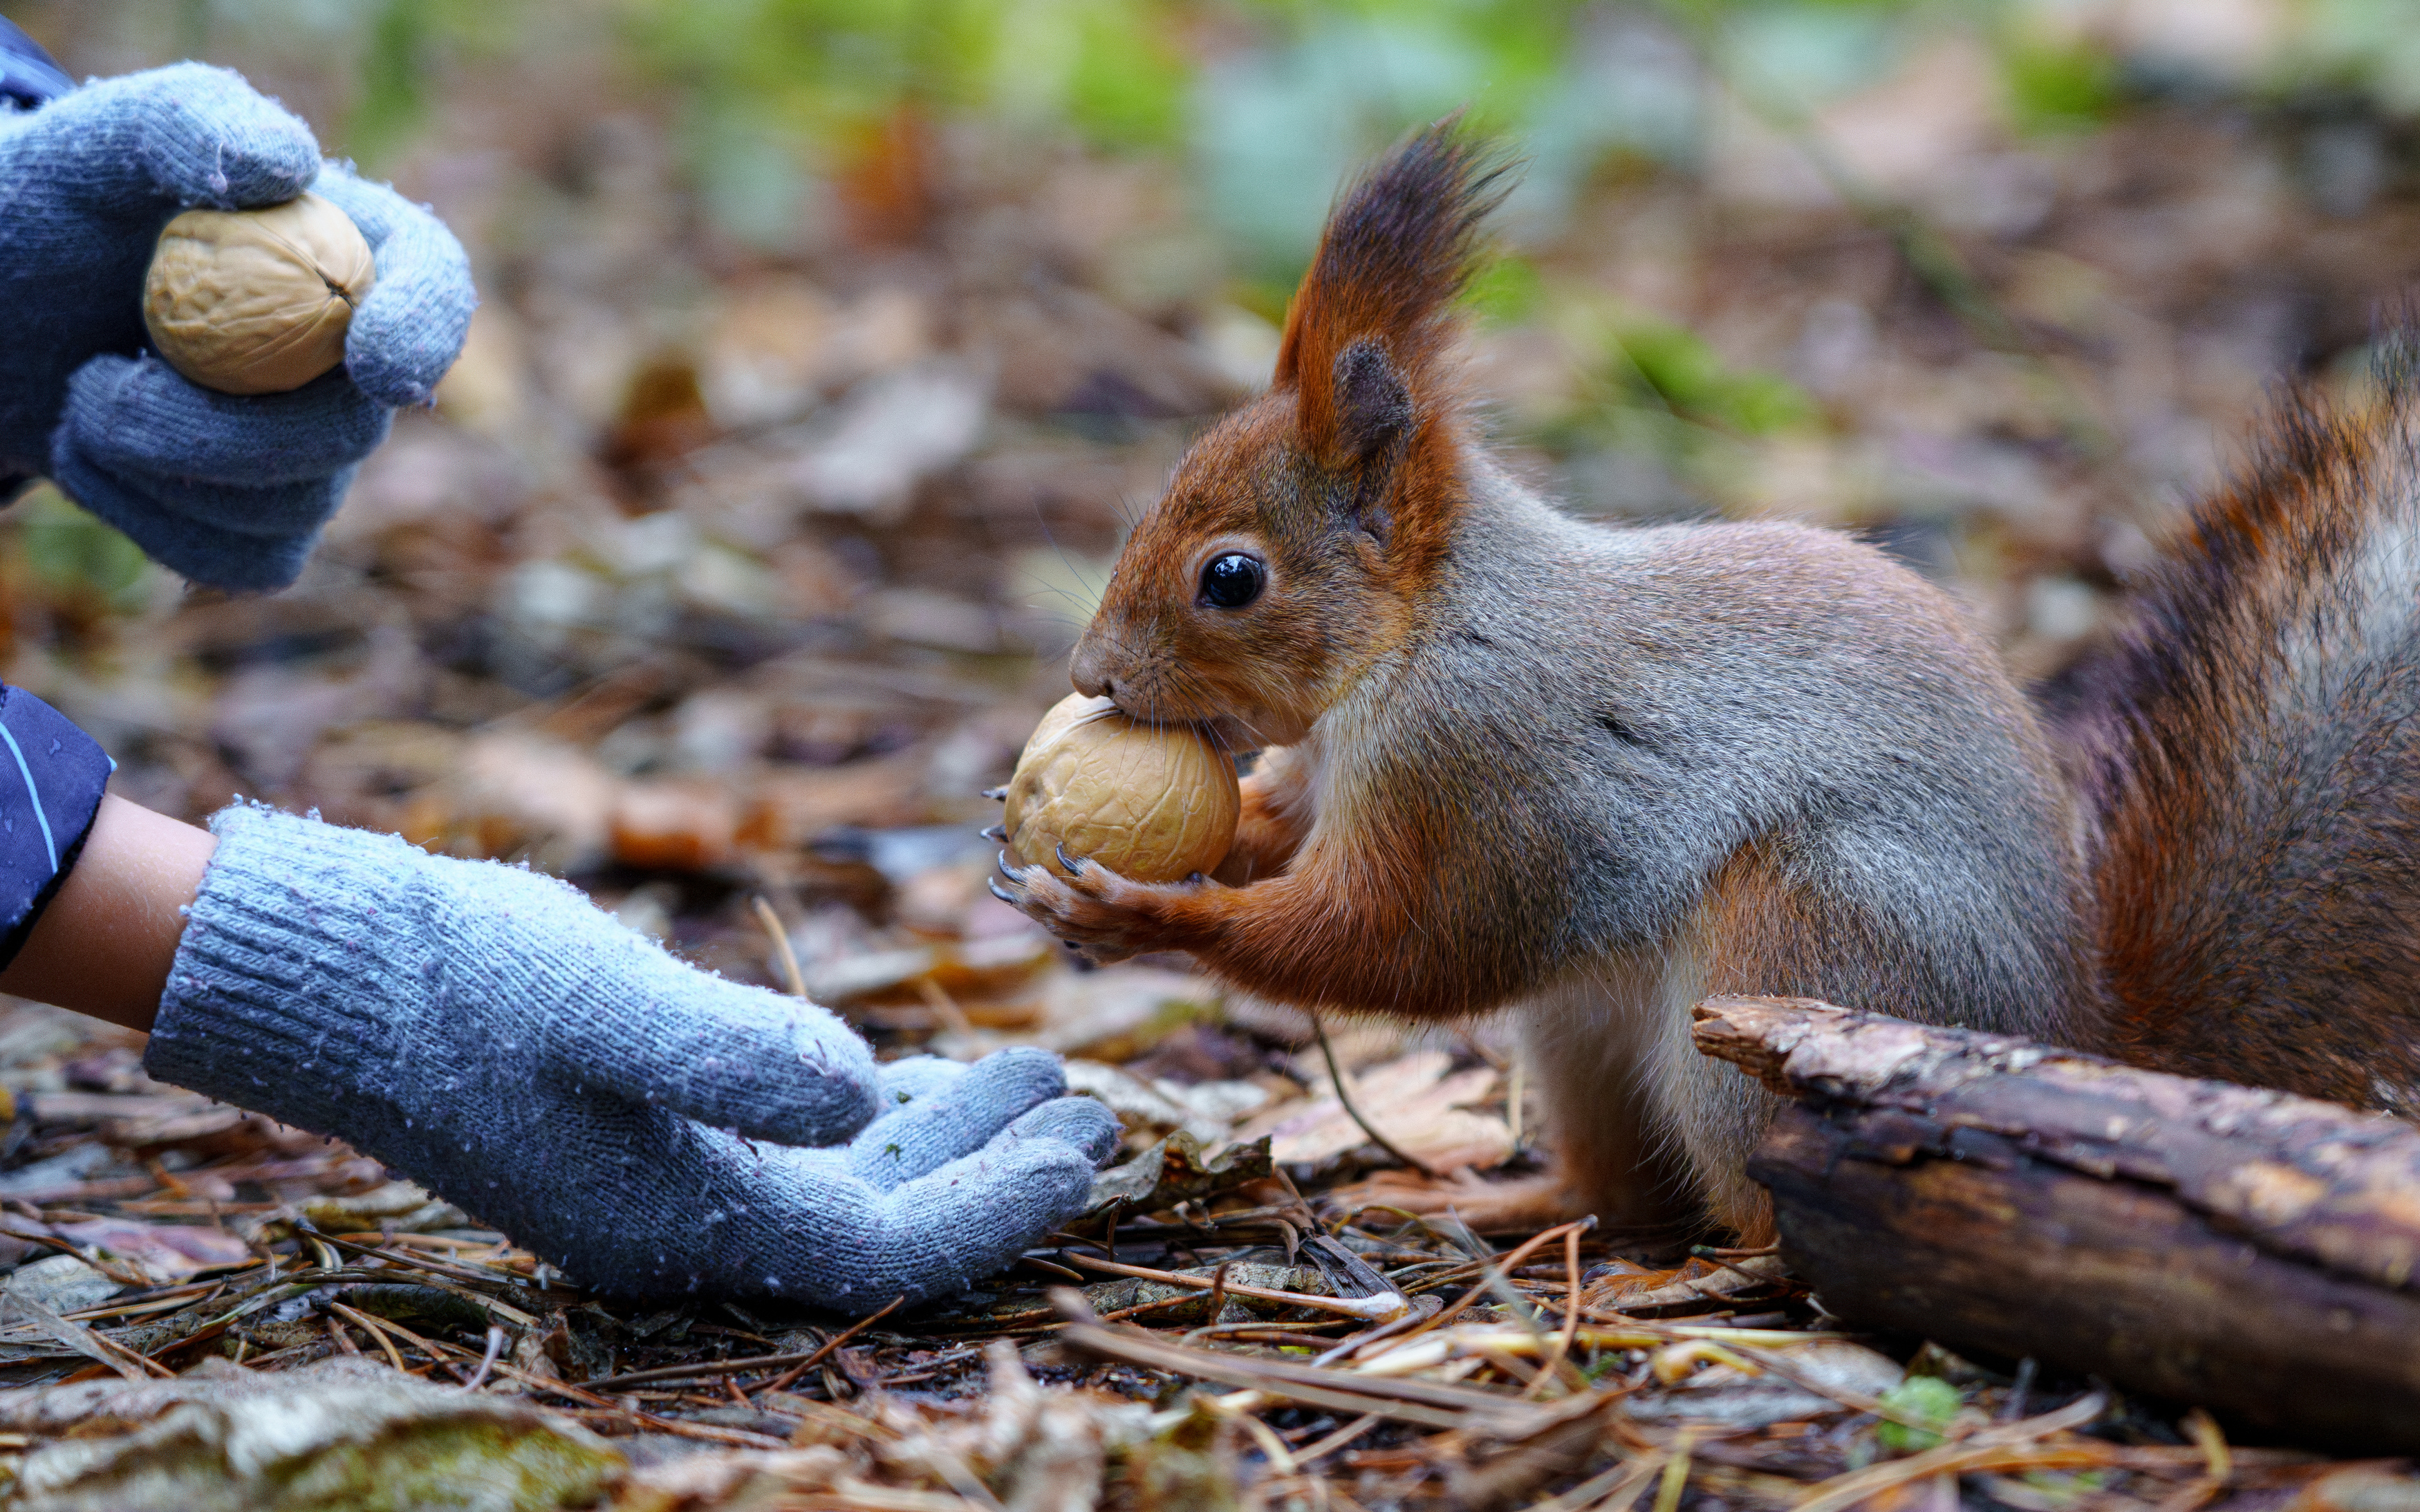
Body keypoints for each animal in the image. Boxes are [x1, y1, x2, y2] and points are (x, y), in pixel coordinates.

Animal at [992, 124, 2420, 1248]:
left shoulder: (1482, 765)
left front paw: (1143, 911)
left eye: (1231, 578)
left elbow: (1409, 941)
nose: (1089, 673)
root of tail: (2070, 1034)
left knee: (1767, 1209)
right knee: (1616, 1187)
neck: (1423, 636)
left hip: (1795, 950)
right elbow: (1306, 846)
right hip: (1587, 1038)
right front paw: (1169, 839)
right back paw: (1494, 1199)